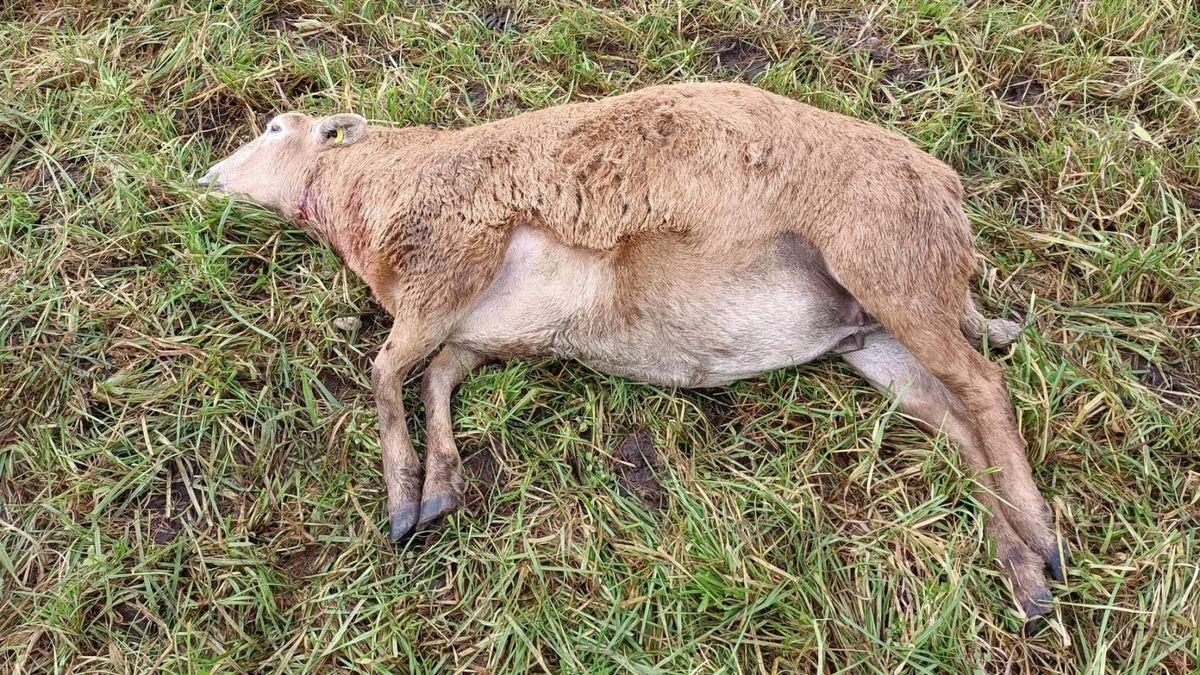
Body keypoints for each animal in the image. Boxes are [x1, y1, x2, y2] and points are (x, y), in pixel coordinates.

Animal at [199, 81, 1070, 619]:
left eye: (276, 128)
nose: (206, 176)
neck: (371, 192)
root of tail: (946, 196)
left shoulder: (450, 264)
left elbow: (387, 371)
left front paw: (402, 502)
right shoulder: (489, 328)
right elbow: (436, 375)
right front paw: (442, 486)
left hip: (889, 265)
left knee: (985, 388)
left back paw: (1043, 535)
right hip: (870, 335)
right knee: (956, 423)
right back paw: (1025, 573)